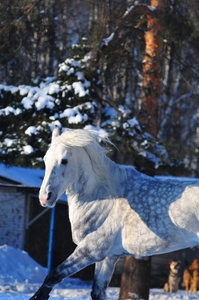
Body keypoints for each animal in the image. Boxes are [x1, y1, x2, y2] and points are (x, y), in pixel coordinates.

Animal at [29, 127, 199, 300]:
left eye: (64, 160)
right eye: (45, 159)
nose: (44, 197)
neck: (103, 200)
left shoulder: (91, 251)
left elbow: (53, 276)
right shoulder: (108, 258)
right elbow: (97, 292)